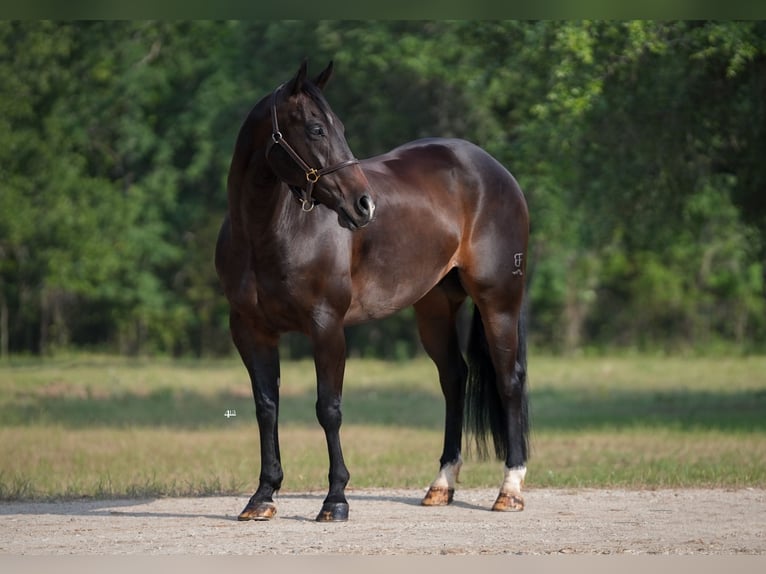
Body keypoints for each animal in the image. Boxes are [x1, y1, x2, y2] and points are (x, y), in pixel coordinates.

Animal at [213, 60, 532, 524]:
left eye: (340, 127)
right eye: (315, 129)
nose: (363, 205)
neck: (267, 233)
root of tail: (495, 170)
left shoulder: (326, 326)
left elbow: (328, 409)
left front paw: (335, 500)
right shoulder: (250, 331)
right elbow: (266, 407)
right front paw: (263, 496)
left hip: (499, 300)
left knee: (510, 380)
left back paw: (510, 489)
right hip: (435, 307)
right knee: (454, 378)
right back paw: (441, 485)